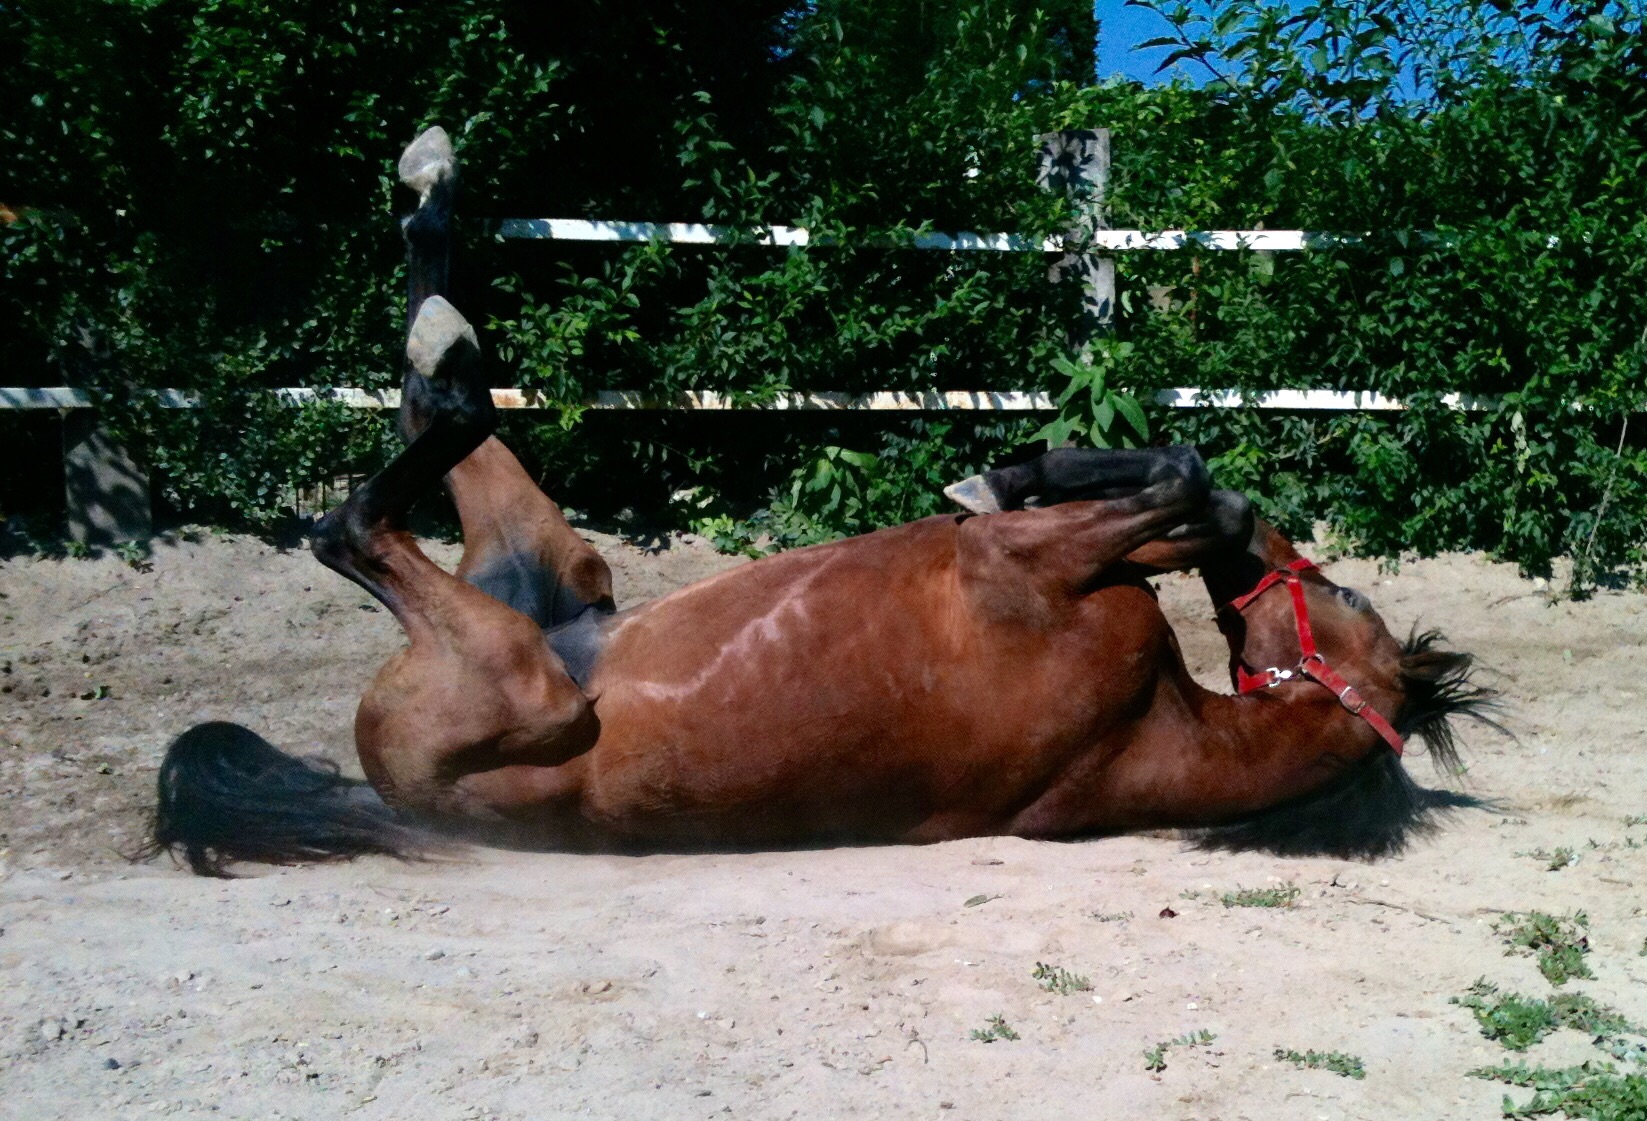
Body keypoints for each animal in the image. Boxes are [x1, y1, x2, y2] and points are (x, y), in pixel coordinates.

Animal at [145, 129, 1494, 876]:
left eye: (1340, 587)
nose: (1279, 550)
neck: (1149, 732)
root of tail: (382, 786)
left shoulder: (1023, 564)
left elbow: (1173, 475)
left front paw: (1000, 473)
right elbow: (1185, 480)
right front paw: (1035, 469)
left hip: (519, 664)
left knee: (377, 492)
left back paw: (435, 285)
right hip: (555, 565)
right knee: (438, 403)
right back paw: (430, 185)